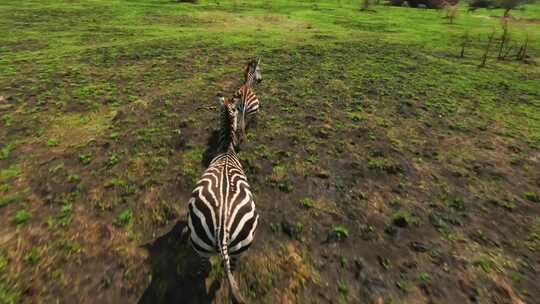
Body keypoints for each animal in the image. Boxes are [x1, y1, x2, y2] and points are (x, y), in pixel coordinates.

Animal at [187, 95, 258, 304]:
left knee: (212, 268)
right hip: (234, 248)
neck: (226, 150)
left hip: (203, 246)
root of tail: (222, 229)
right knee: (225, 269)